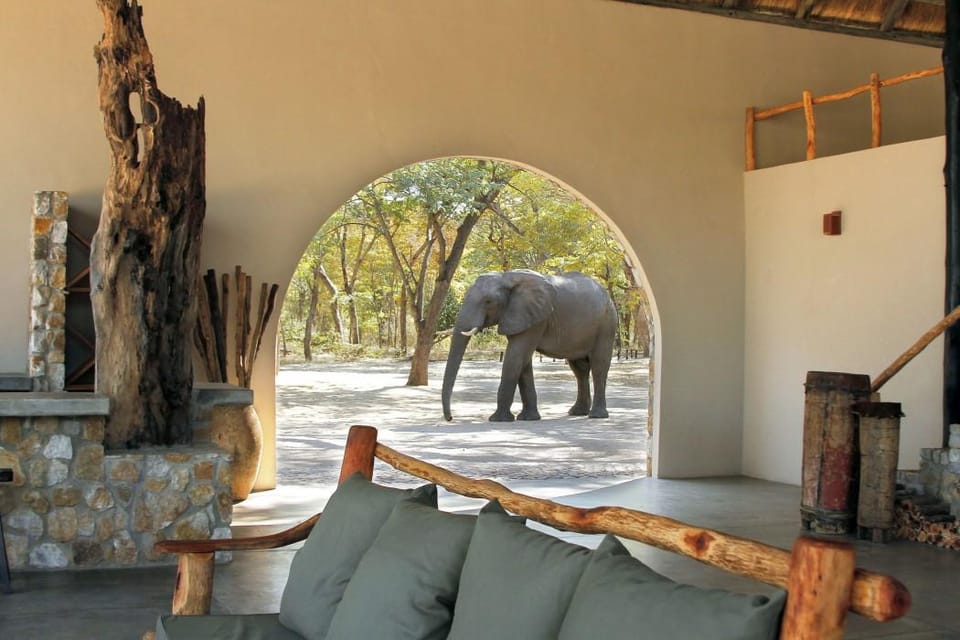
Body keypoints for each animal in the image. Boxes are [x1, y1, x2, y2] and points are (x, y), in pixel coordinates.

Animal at [441, 269, 618, 422]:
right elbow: (523, 361)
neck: (506, 277)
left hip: (606, 324)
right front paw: (528, 418)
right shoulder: (519, 316)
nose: (450, 418)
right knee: (580, 369)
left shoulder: (537, 318)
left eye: (489, 301)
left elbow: (515, 356)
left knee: (598, 366)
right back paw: (577, 412)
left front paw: (498, 420)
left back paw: (596, 416)